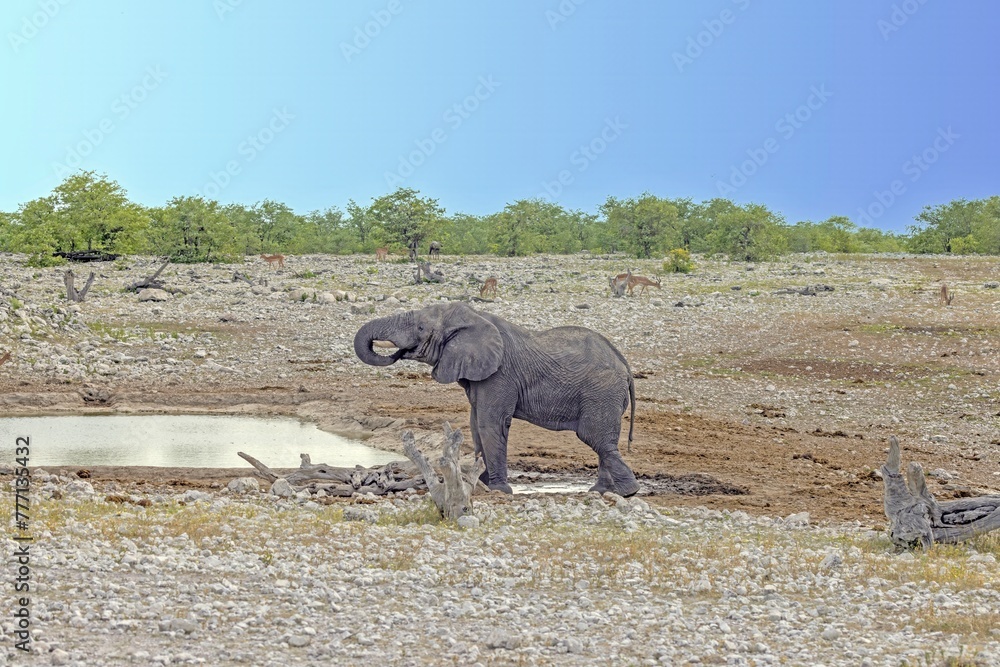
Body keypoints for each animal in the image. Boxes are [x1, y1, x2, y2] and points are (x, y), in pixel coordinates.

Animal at [353, 303, 640, 497]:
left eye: (421, 328)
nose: (397, 352)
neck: (473, 316)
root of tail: (625, 366)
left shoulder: (500, 374)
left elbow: (490, 424)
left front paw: (500, 490)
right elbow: (475, 425)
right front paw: (482, 484)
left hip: (600, 392)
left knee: (595, 438)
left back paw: (628, 491)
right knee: (603, 441)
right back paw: (602, 492)